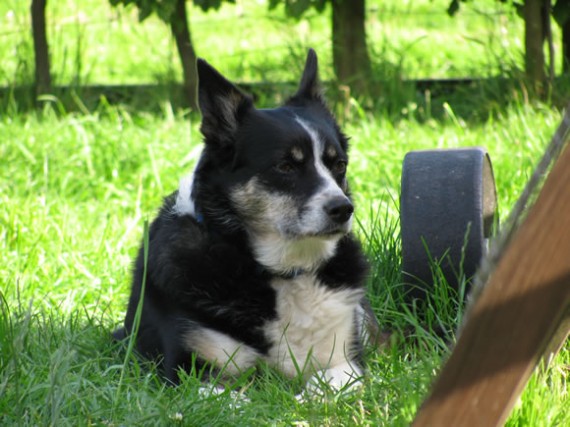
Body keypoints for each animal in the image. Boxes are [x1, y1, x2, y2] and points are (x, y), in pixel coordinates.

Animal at [113, 49, 374, 394]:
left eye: (339, 164)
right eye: (285, 166)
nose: (343, 209)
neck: (279, 271)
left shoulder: (344, 361)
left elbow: (323, 385)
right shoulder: (190, 374)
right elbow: (236, 396)